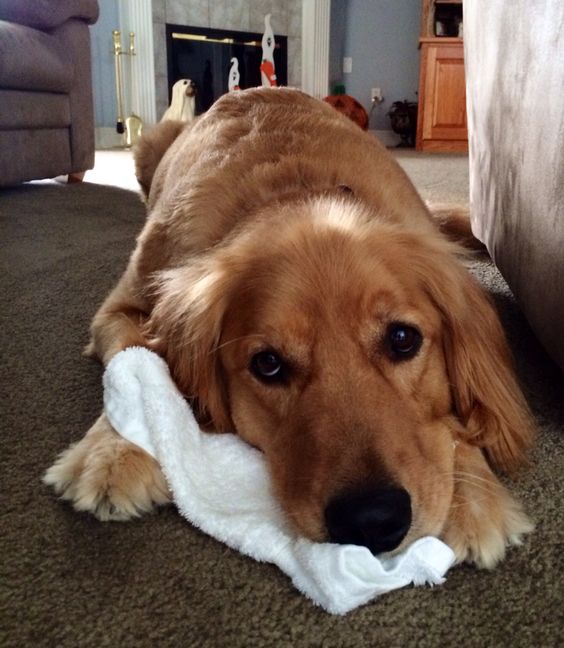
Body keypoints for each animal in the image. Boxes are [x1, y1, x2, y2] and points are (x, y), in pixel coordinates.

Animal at [44, 87, 532, 568]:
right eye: (268, 365)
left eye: (402, 339)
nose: (372, 521)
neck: (294, 194)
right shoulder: (119, 309)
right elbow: (136, 356)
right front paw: (112, 452)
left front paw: (473, 496)